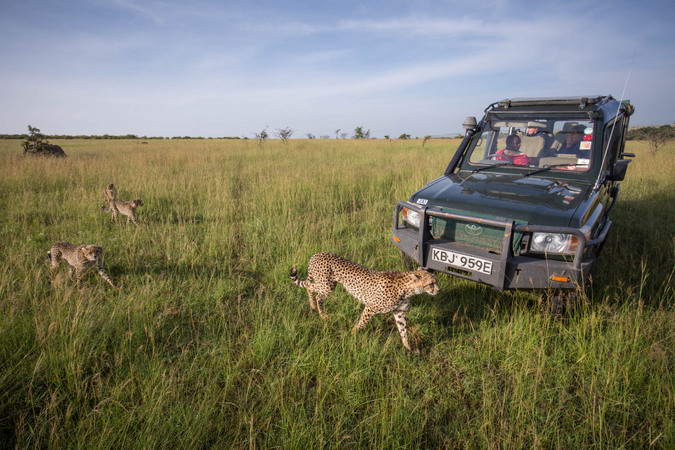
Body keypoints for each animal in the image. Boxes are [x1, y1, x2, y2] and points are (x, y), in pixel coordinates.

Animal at [290, 253, 438, 352]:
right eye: (431, 283)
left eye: (436, 281)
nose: (438, 290)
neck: (408, 289)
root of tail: (316, 254)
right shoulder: (370, 307)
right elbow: (362, 323)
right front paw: (352, 334)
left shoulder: (399, 313)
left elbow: (404, 331)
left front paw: (409, 348)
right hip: (327, 286)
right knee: (316, 293)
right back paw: (321, 313)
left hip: (327, 284)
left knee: (309, 286)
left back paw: (313, 307)